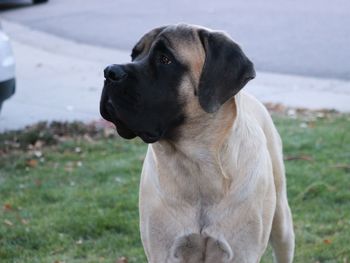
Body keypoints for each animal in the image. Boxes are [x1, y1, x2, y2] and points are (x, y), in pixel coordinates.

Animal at [99, 23, 296, 262]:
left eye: (165, 59)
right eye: (134, 55)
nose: (110, 72)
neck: (196, 167)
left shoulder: (242, 253)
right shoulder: (163, 251)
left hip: (282, 223)